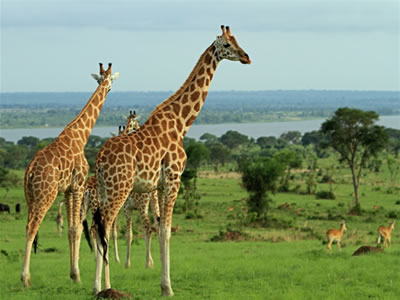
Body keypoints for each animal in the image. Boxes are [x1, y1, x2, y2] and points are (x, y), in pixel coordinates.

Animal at [21, 62, 119, 286]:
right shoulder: (78, 185)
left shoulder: (66, 189)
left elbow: (70, 229)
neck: (81, 136)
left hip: (31, 197)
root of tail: (29, 171)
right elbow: (76, 228)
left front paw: (73, 272)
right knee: (32, 227)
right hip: (46, 195)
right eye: (108, 83)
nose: (109, 89)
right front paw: (76, 275)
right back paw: (25, 278)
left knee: (27, 226)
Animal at [93, 25, 250, 296]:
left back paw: (97, 286)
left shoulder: (159, 186)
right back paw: (105, 288)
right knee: (104, 226)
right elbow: (166, 231)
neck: (181, 124)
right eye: (226, 45)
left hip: (105, 190)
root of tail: (101, 159)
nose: (246, 57)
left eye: (237, 40)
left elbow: (158, 229)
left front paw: (162, 282)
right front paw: (167, 287)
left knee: (97, 228)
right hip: (119, 188)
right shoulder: (174, 179)